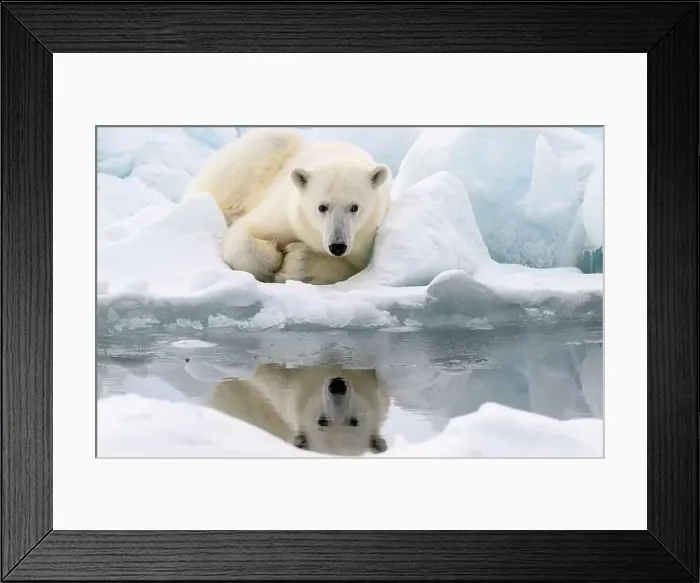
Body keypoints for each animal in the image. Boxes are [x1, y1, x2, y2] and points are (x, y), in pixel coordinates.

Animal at [184, 128, 392, 285]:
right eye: (322, 207)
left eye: (355, 207)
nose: (337, 246)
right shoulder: (284, 213)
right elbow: (244, 234)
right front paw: (274, 259)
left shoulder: (363, 242)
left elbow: (347, 267)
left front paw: (293, 262)